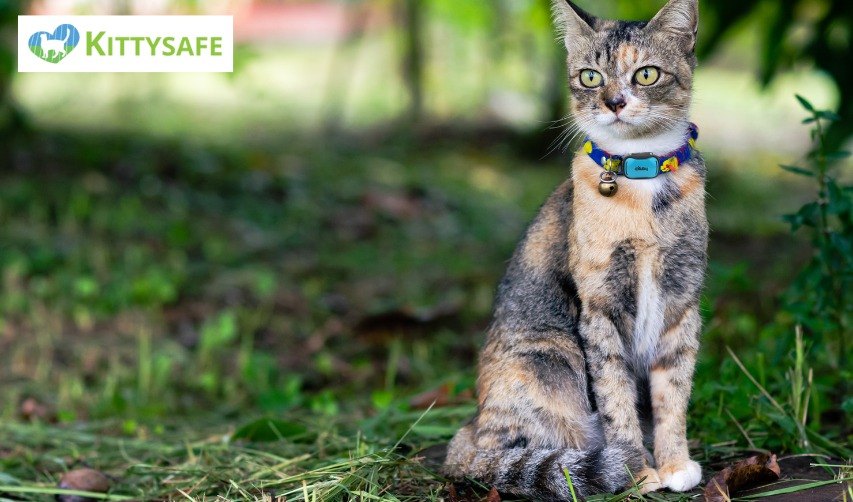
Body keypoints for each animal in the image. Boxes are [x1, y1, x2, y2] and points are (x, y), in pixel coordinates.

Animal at [442, 0, 708, 498]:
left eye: (646, 74)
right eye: (590, 76)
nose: (614, 102)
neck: (641, 180)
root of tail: (470, 431)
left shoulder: (682, 303)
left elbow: (673, 393)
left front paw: (674, 463)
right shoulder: (599, 309)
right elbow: (616, 397)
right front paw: (637, 470)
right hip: (550, 356)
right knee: (513, 453)